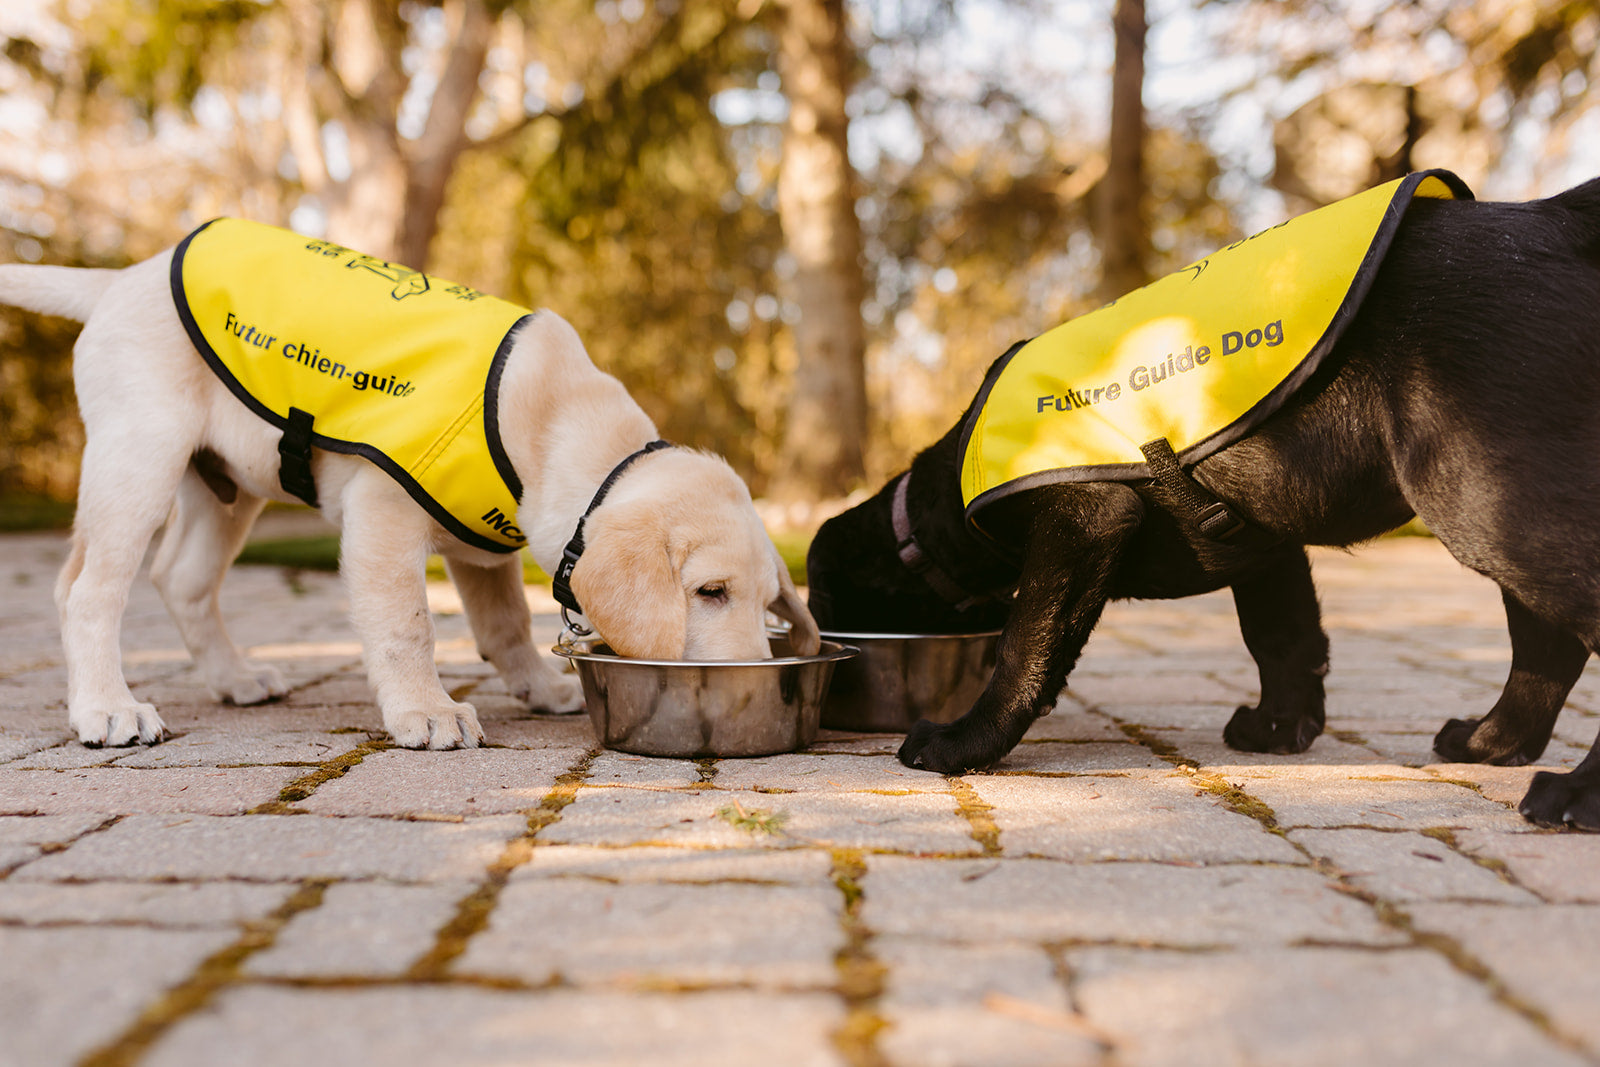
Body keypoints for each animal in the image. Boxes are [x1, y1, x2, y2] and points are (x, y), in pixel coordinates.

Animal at [0, 217, 819, 751]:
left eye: (766, 602)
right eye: (709, 592)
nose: (751, 682)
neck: (550, 415)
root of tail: (122, 278)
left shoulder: (481, 540)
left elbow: (505, 625)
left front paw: (539, 687)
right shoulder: (384, 512)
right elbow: (407, 624)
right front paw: (426, 711)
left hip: (227, 484)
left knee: (183, 578)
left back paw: (233, 678)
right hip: (140, 455)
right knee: (88, 589)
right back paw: (106, 707)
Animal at [806, 175, 1600, 831]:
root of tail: (1559, 216)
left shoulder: (1084, 518)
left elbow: (1025, 645)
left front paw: (962, 742)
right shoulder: (1263, 546)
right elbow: (1284, 640)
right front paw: (1281, 729)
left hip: (1483, 491)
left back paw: (1574, 795)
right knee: (1547, 645)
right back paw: (1489, 743)